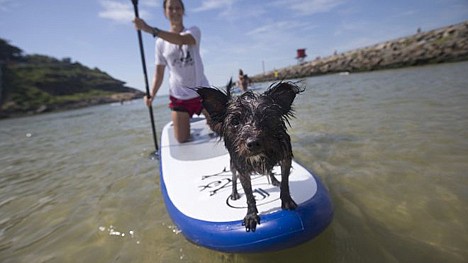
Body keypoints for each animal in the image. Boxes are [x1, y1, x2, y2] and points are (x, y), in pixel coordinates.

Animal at [197, 81, 304, 232]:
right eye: (235, 121)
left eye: (267, 118)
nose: (253, 143)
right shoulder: (242, 169)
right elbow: (249, 195)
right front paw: (251, 215)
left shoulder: (285, 158)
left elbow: (285, 183)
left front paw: (287, 200)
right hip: (232, 164)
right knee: (234, 178)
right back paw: (234, 193)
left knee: (270, 170)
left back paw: (273, 179)